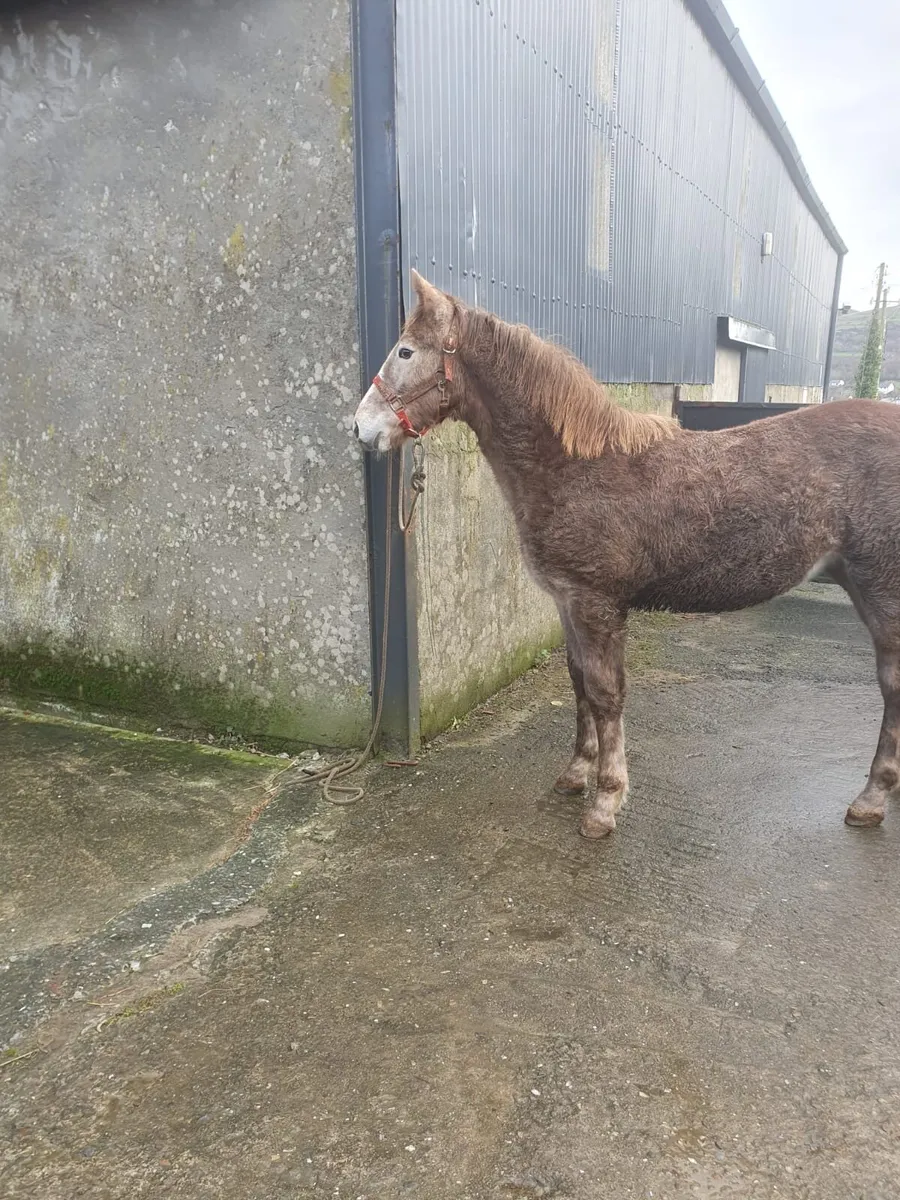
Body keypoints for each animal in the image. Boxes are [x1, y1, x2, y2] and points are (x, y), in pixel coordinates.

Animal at [354, 270, 900, 840]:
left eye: (406, 351)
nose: (362, 428)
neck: (575, 466)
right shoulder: (567, 602)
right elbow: (578, 683)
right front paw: (577, 773)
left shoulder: (597, 604)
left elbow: (605, 693)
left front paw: (605, 802)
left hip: (881, 588)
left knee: (892, 686)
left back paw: (870, 799)